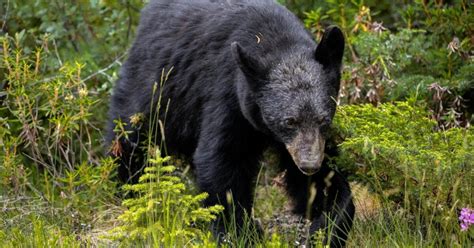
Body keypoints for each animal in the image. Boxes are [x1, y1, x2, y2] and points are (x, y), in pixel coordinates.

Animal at [107, 0, 352, 246]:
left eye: (323, 119)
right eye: (289, 121)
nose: (309, 164)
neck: (275, 40)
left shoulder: (306, 141)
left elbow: (323, 181)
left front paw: (326, 227)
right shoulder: (228, 95)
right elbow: (223, 160)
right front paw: (240, 232)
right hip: (156, 86)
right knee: (129, 138)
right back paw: (128, 190)